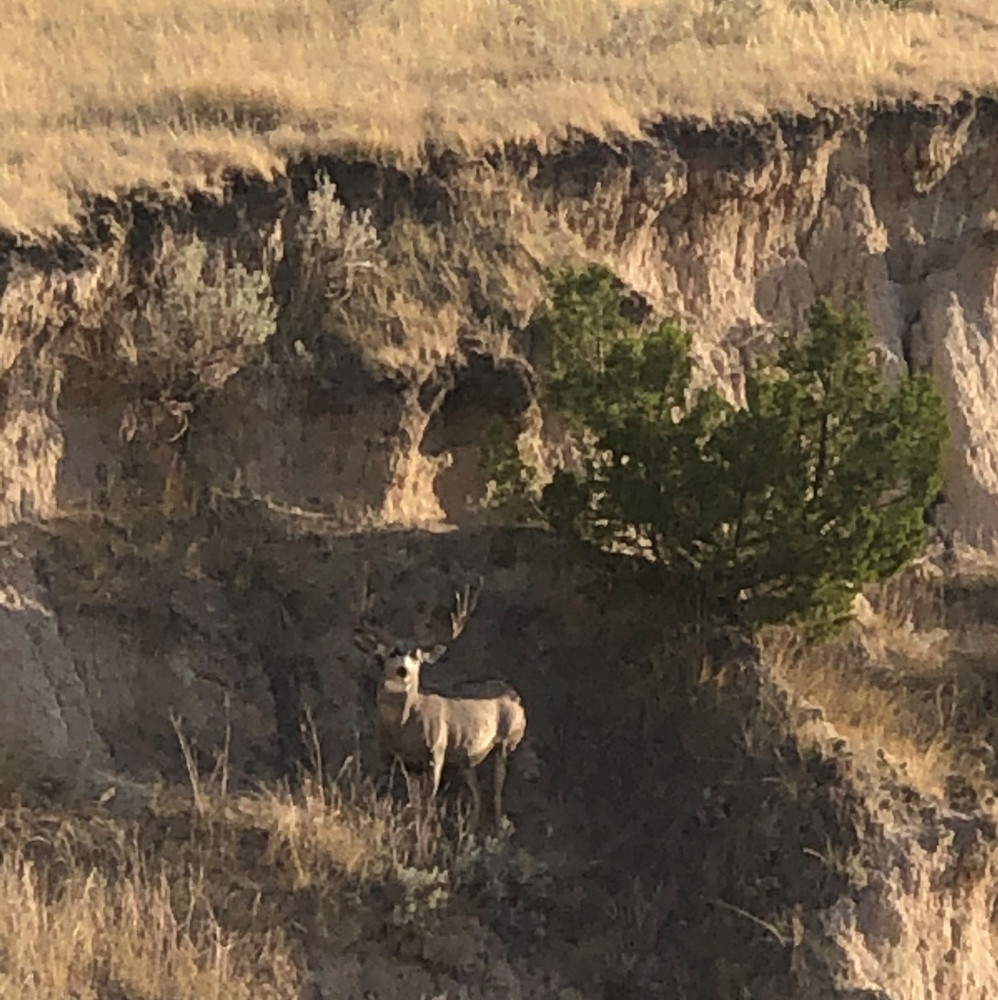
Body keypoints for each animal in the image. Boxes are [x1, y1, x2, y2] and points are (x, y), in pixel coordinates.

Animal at [360, 580, 532, 828]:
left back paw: (500, 827)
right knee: (477, 793)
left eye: (416, 656)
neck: (405, 726)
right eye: (390, 653)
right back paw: (471, 828)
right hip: (466, 758)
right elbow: (415, 803)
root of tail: (516, 695)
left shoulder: (436, 751)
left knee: (497, 789)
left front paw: (425, 832)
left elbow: (428, 802)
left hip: (508, 740)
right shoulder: (406, 761)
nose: (403, 670)